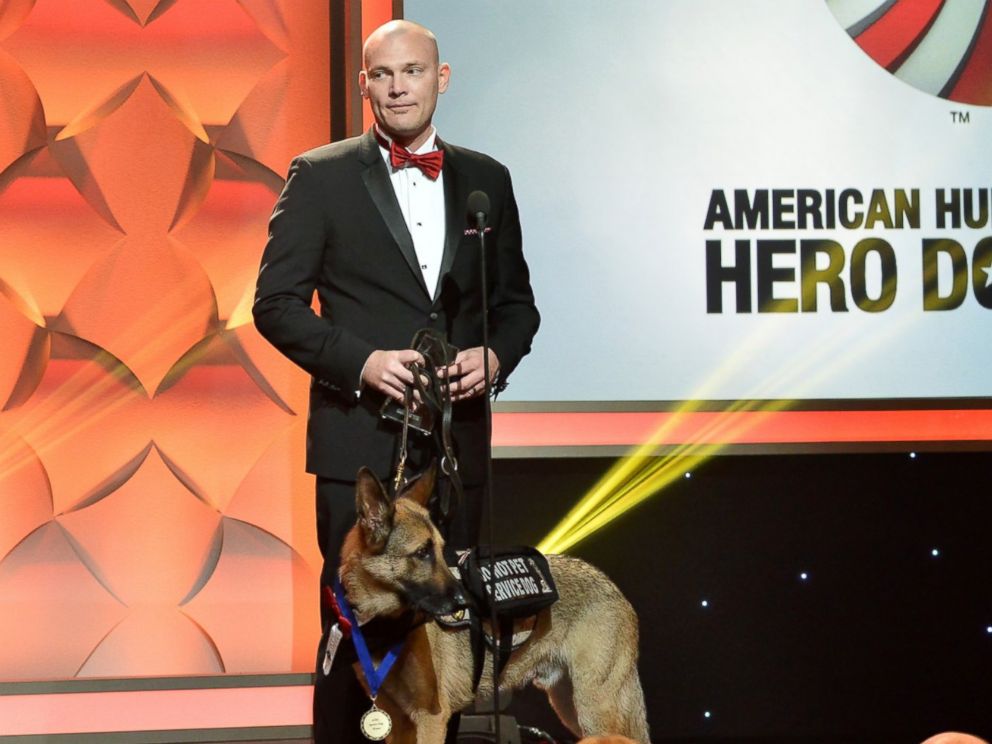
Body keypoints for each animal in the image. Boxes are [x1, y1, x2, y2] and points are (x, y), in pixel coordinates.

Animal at [338, 468, 656, 740]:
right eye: (422, 553)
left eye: (440, 551)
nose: (466, 600)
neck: (386, 623)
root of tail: (613, 586)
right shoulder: (396, 721)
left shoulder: (430, 719)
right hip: (571, 707)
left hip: (595, 710)